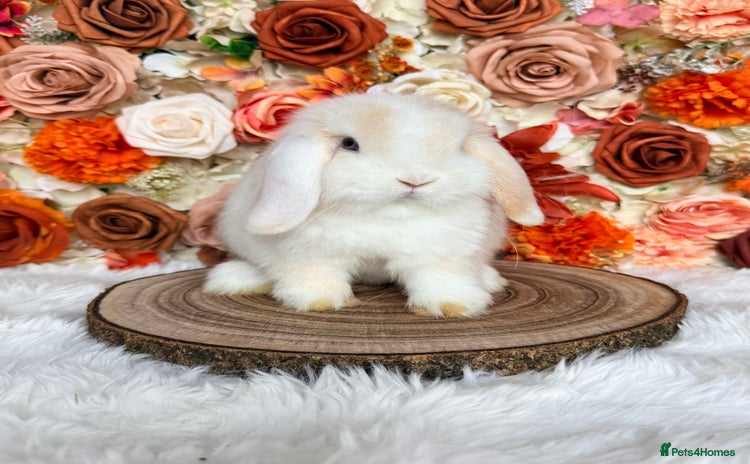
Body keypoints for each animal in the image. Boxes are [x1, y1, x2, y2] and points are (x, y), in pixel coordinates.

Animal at [204, 92, 544, 317]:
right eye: (349, 144)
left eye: (460, 148)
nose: (415, 179)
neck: (387, 216)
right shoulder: (310, 256)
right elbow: (314, 277)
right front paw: (319, 302)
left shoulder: (440, 256)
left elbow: (441, 280)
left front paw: (454, 306)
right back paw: (234, 280)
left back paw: (489, 280)